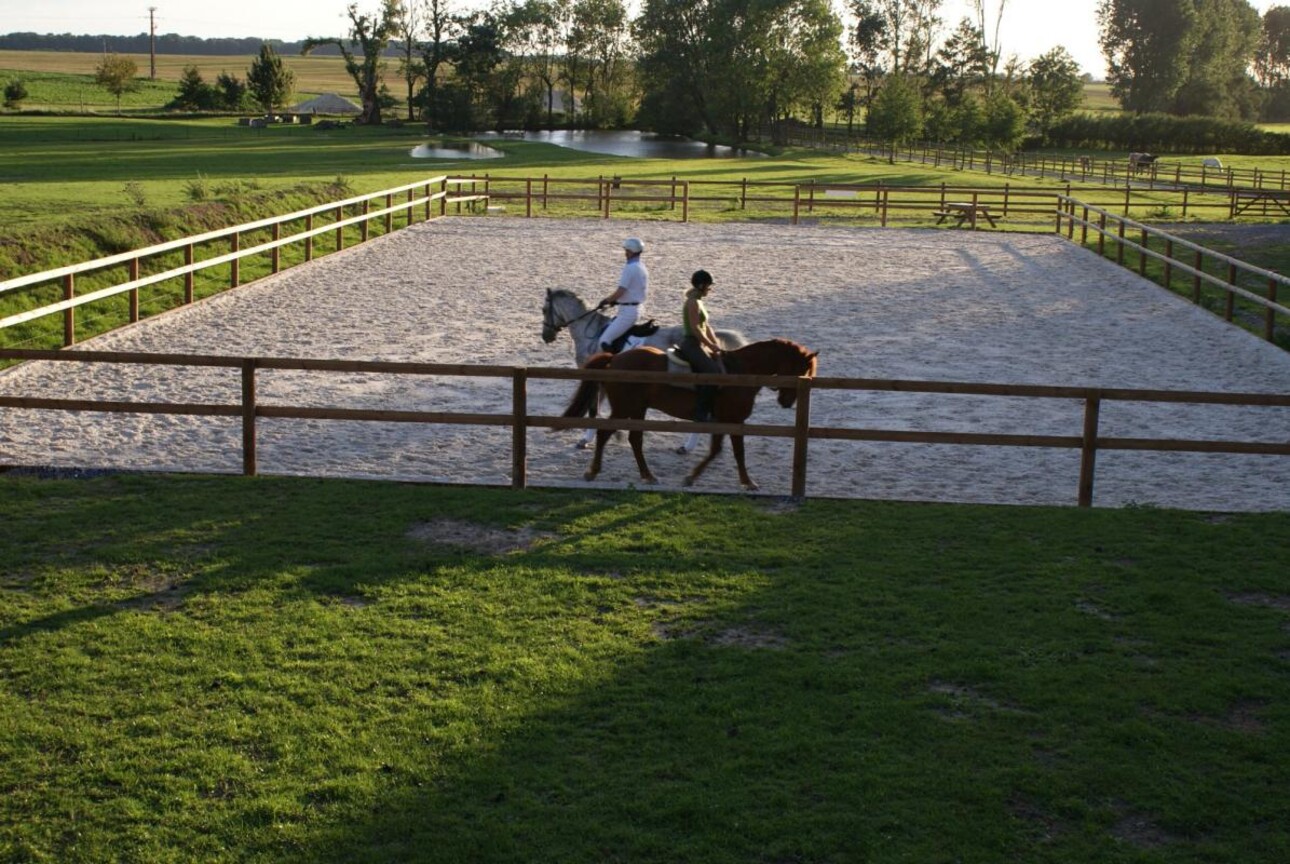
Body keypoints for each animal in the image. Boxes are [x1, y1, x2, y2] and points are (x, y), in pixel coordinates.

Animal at [541, 288, 748, 453]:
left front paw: (586, 440)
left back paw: (687, 447)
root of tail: (704, 337)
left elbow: (593, 408)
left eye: (544, 310)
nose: (546, 337)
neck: (589, 331)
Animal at [562, 340, 815, 495]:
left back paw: (647, 475)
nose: (787, 402)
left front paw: (693, 478)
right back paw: (594, 472)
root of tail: (614, 360)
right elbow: (736, 452)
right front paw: (747, 482)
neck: (741, 372)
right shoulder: (734, 420)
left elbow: (718, 450)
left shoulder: (724, 421)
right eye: (802, 370)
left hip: (637, 409)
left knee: (634, 439)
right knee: (605, 433)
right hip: (625, 408)